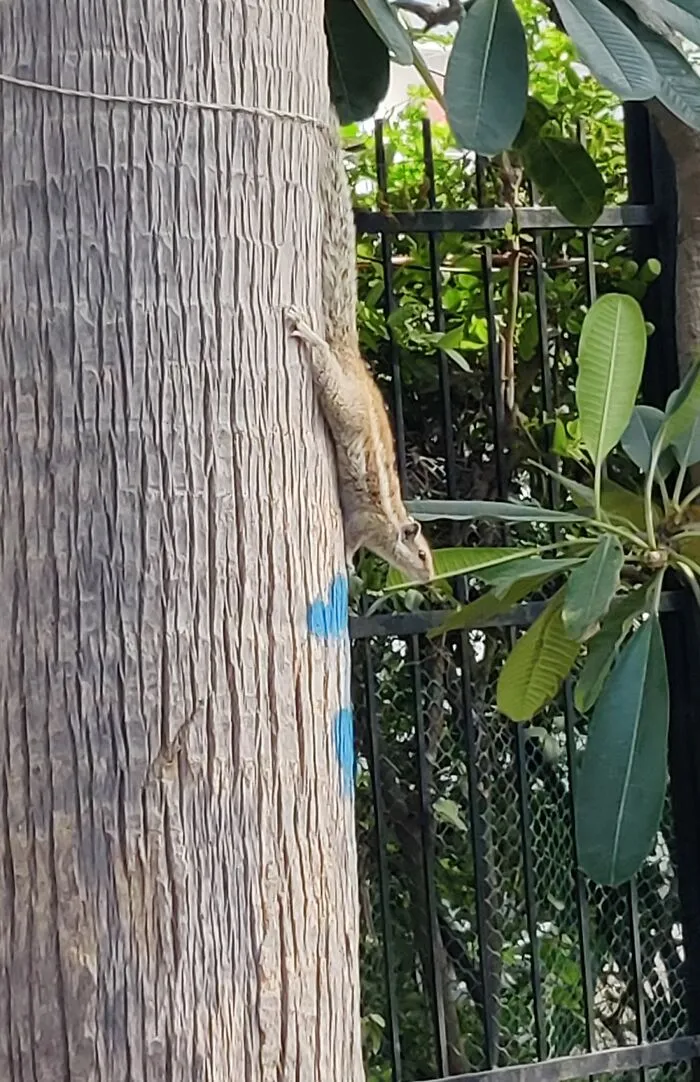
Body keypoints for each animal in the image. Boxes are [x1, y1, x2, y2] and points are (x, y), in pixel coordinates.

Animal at [286, 110, 434, 584]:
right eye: (422, 553)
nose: (430, 578)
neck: (391, 525)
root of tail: (352, 357)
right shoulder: (366, 521)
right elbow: (352, 537)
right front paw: (349, 564)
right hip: (344, 403)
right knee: (324, 370)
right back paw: (310, 335)